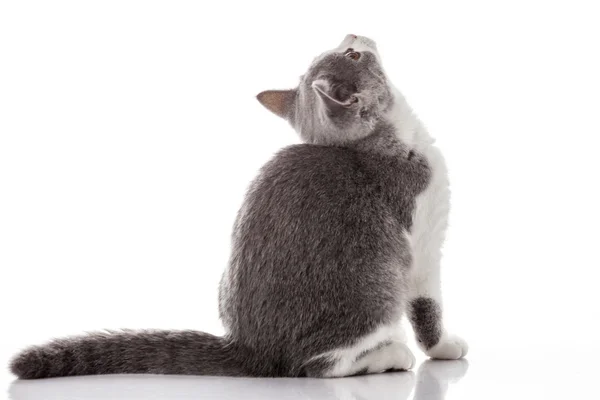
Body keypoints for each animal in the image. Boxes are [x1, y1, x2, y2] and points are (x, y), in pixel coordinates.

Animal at [10, 33, 468, 378]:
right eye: (353, 55)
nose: (353, 34)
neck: (384, 143)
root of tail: (251, 350)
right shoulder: (422, 241)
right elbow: (428, 308)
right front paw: (444, 347)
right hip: (375, 290)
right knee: (318, 365)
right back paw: (390, 355)